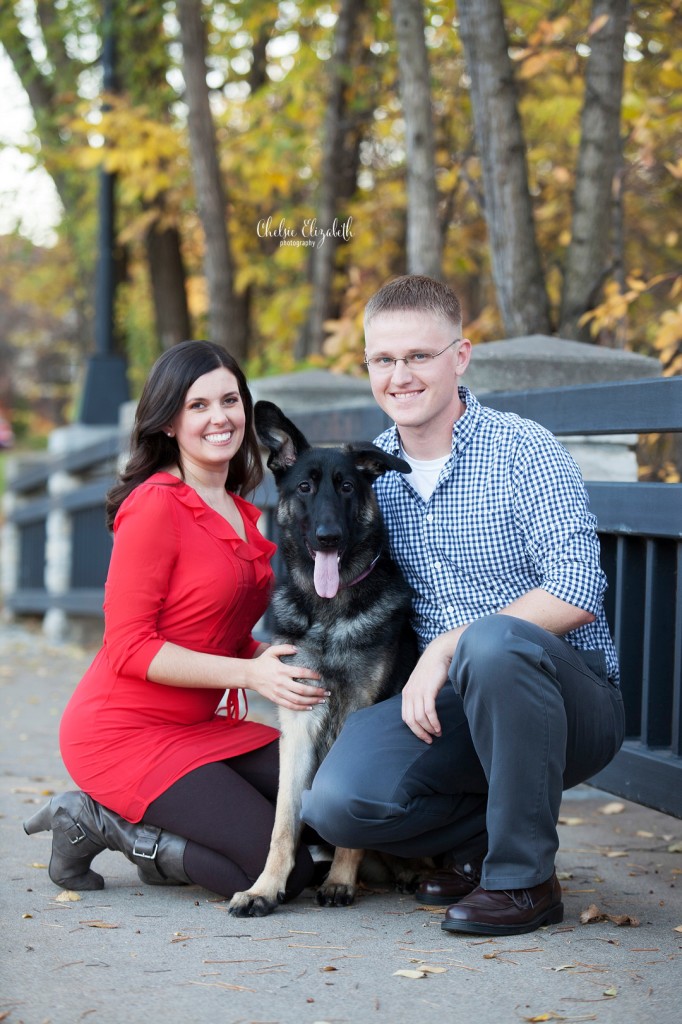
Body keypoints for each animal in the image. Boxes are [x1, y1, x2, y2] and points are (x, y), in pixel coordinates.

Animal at [227, 399, 413, 921]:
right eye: (305, 487)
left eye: (347, 487)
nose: (329, 537)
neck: (329, 613)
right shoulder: (298, 718)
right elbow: (282, 822)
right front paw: (265, 887)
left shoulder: (357, 710)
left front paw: (339, 881)